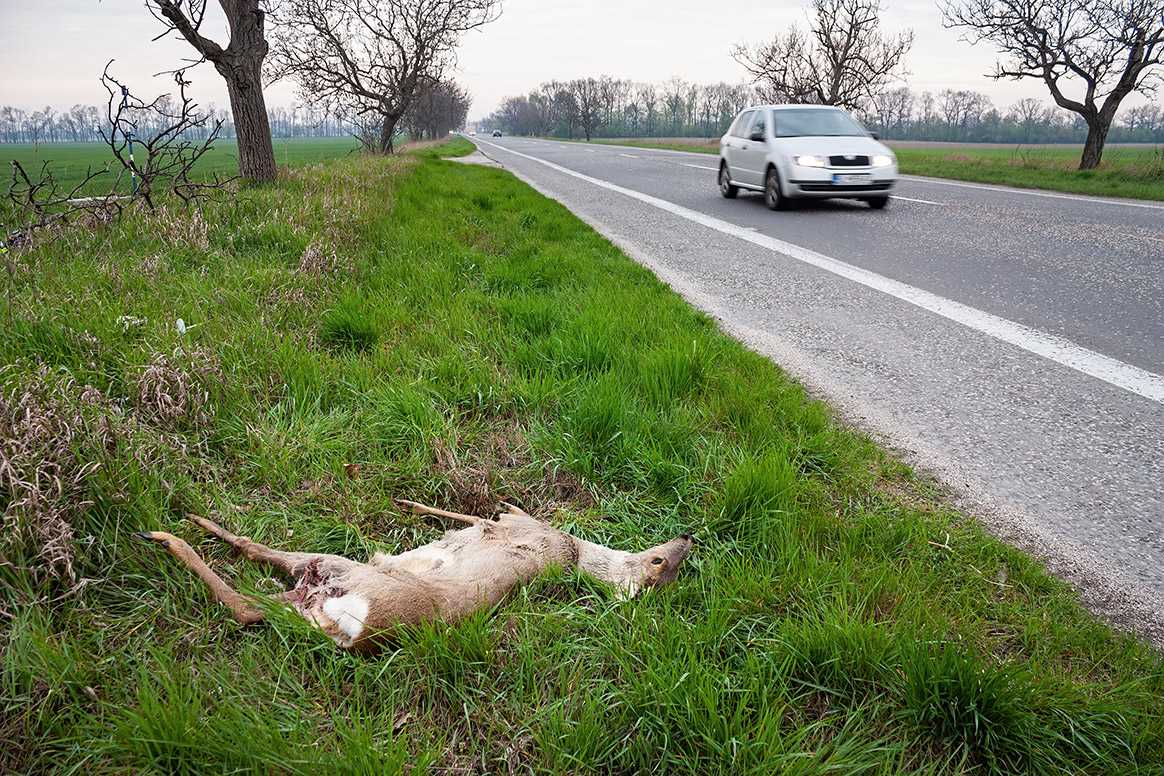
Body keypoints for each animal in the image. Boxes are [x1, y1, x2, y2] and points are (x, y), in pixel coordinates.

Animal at [140, 500, 693, 651]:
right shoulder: (515, 522)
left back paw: (167, 533)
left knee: (246, 600)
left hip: (334, 570)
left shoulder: (508, 525)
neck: (574, 551)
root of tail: (351, 628)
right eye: (662, 563)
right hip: (311, 581)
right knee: (255, 585)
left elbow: (472, 515)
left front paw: (408, 504)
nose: (689, 538)